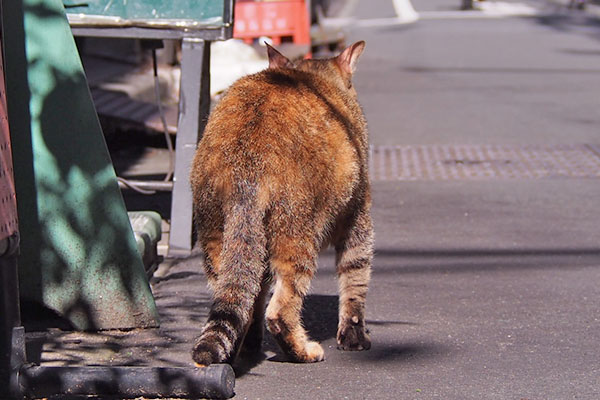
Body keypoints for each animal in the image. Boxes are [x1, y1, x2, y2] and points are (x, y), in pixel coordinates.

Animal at [190, 41, 372, 366]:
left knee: (239, 300)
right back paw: (304, 351)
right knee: (279, 311)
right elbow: (355, 281)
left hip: (217, 234)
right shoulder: (358, 215)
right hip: (296, 231)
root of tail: (244, 163)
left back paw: (236, 353)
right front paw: (354, 338)